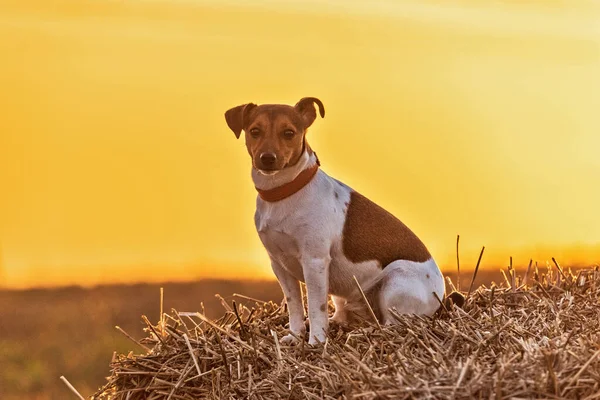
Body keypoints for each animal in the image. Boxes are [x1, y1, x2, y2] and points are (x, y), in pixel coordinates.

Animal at [227, 97, 448, 344]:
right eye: (255, 131)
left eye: (289, 133)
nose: (267, 158)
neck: (284, 193)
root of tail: (441, 296)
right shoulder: (278, 264)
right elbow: (295, 307)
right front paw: (295, 336)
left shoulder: (314, 261)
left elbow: (316, 308)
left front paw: (315, 342)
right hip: (347, 297)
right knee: (346, 315)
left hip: (395, 282)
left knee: (392, 326)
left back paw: (364, 333)